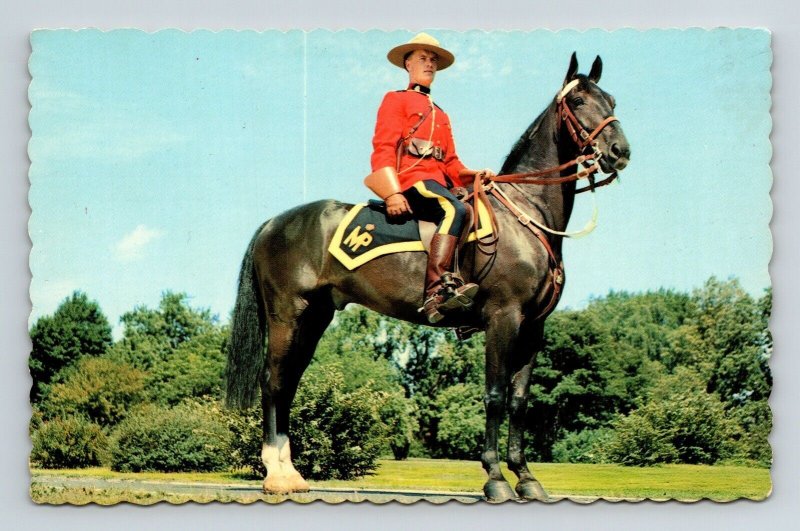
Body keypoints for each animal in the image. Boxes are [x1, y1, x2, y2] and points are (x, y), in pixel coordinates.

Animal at [225, 53, 632, 502]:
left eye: (611, 99)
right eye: (577, 100)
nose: (619, 151)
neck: (526, 215)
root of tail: (273, 223)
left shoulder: (532, 328)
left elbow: (519, 401)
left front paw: (526, 478)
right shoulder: (503, 319)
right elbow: (495, 396)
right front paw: (495, 478)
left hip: (314, 318)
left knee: (289, 382)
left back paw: (291, 473)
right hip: (287, 314)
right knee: (272, 381)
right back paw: (276, 475)